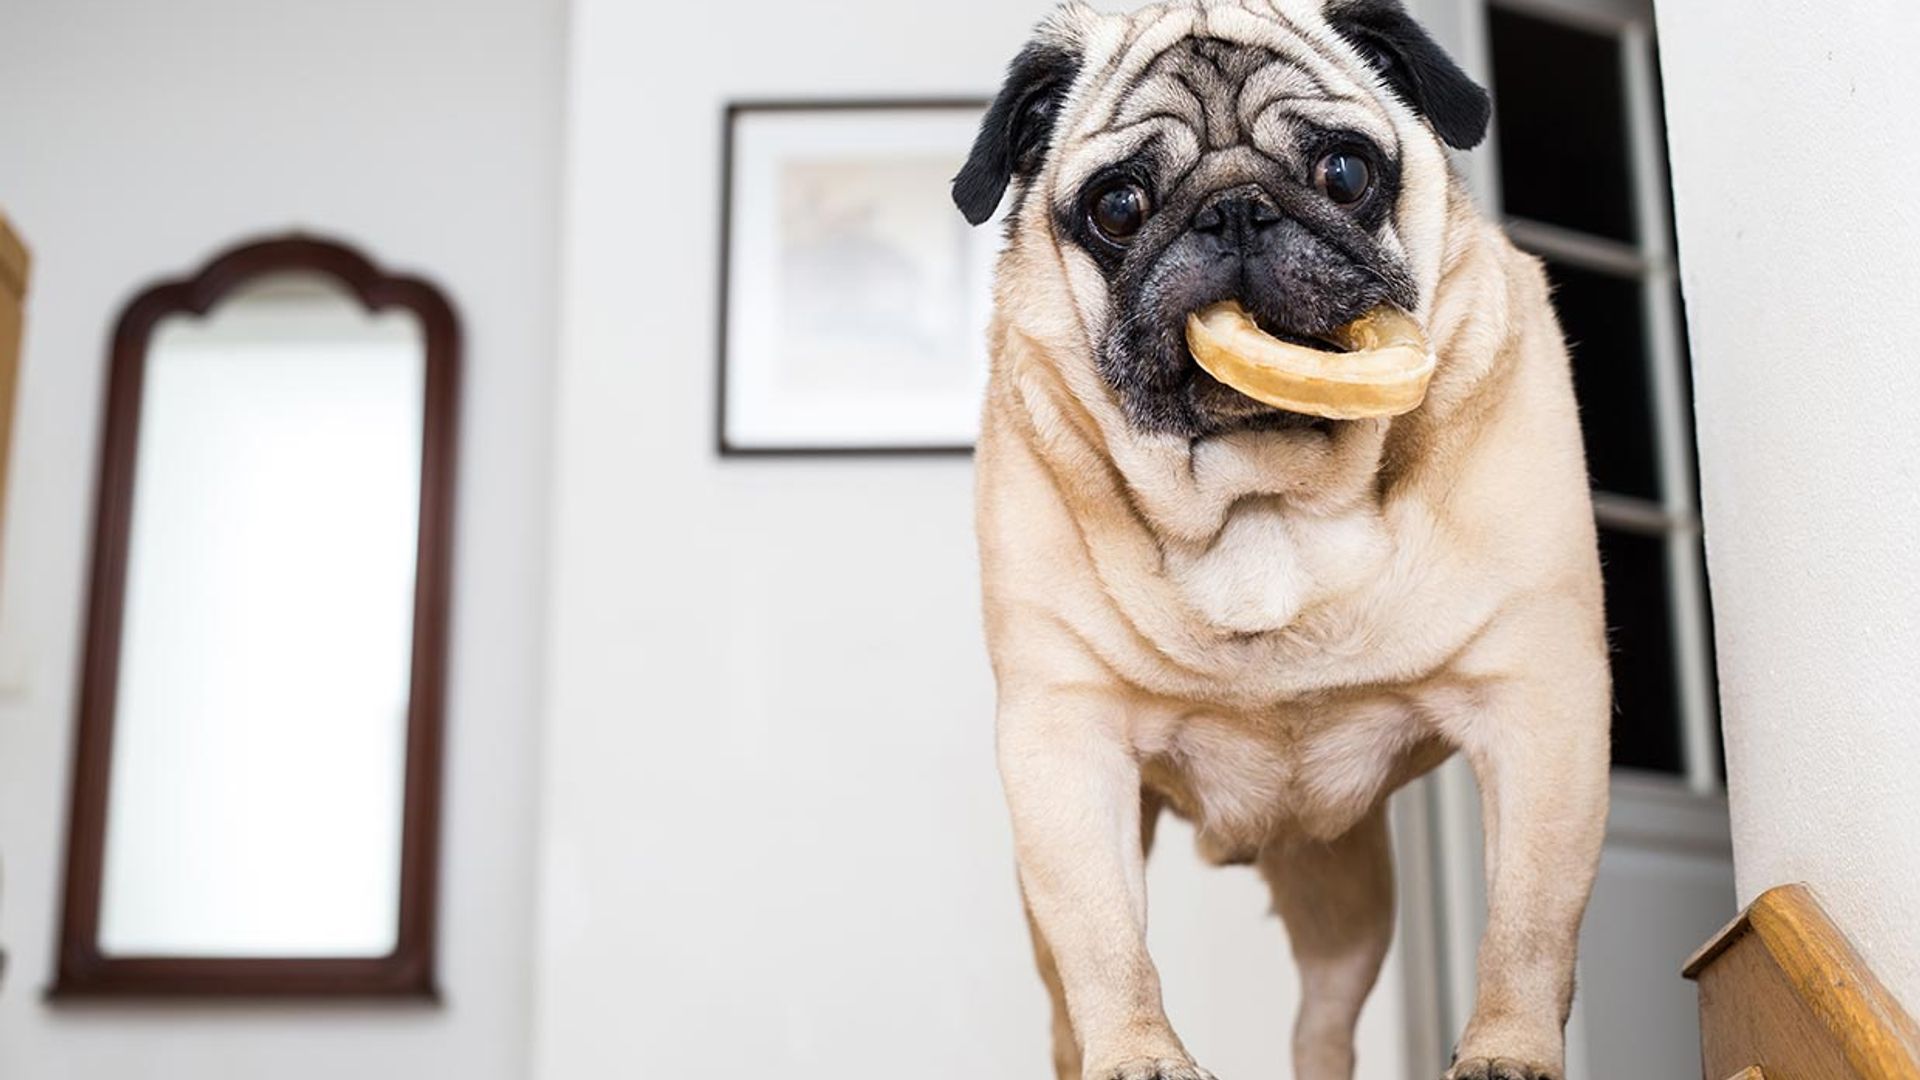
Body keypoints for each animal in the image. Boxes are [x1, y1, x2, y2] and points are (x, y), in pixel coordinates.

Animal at [956, 2, 1605, 1076]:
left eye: (1344, 172)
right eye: (1118, 206)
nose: (1233, 212)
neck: (1264, 495)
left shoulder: (1540, 708)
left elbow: (1528, 924)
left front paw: (1508, 1053)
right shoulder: (1063, 742)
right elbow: (1106, 947)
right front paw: (1139, 1055)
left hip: (1348, 896)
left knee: (1324, 1025)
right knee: (1066, 997)